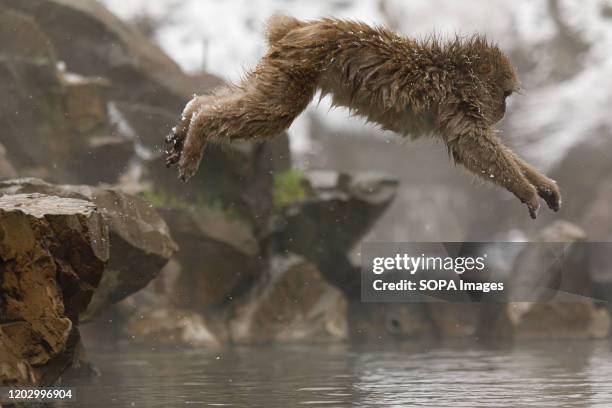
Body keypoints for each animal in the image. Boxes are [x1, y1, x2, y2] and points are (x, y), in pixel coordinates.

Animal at [165, 15, 560, 218]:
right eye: (505, 94)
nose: (503, 111)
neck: (456, 73)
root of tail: (297, 27)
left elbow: (477, 151)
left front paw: (543, 185)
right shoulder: (456, 103)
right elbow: (472, 147)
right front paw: (527, 190)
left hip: (284, 66)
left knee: (256, 100)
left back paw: (190, 116)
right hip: (298, 66)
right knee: (272, 112)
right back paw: (200, 128)